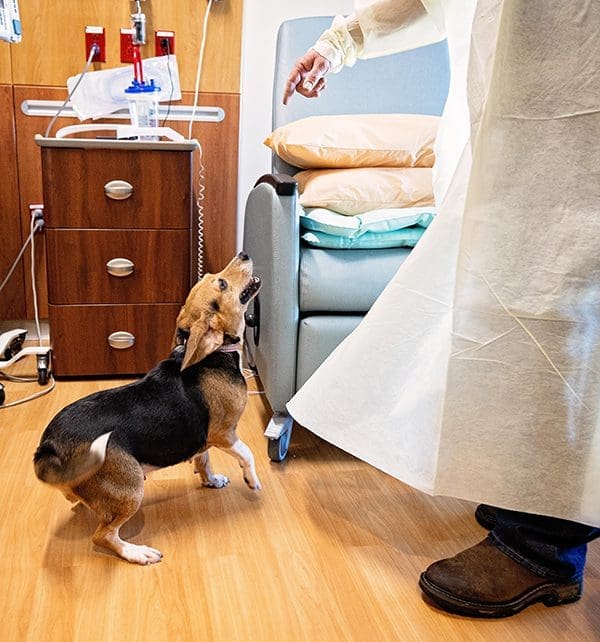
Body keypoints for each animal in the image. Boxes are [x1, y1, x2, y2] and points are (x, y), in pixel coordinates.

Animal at [33, 252, 262, 564]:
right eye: (222, 284)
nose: (244, 254)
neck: (212, 355)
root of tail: (50, 445)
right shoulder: (224, 434)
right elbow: (247, 453)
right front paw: (252, 480)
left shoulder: (203, 440)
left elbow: (203, 460)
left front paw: (212, 481)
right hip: (131, 490)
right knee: (102, 535)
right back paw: (136, 552)